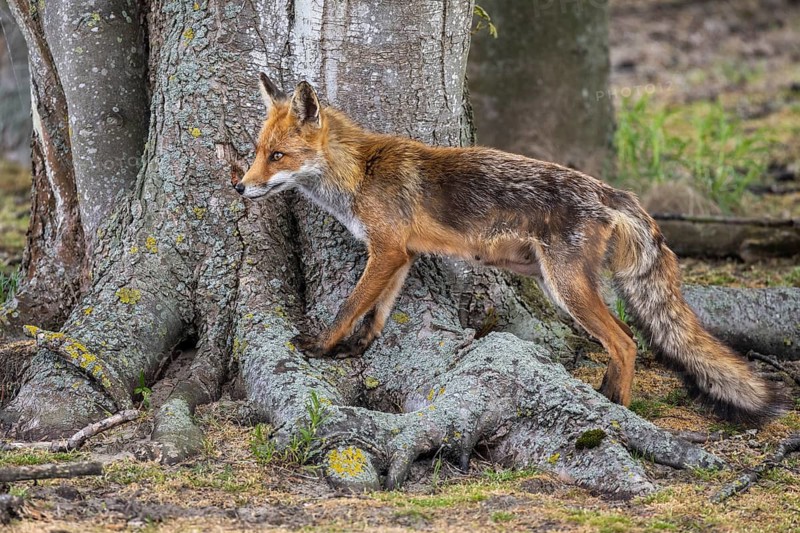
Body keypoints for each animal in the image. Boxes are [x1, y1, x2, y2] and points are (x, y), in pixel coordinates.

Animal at [235, 73, 786, 423]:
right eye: (257, 153)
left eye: (277, 156)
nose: (240, 187)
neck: (360, 173)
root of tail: (612, 192)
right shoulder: (401, 254)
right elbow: (377, 311)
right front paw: (359, 346)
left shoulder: (386, 249)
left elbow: (350, 304)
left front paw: (321, 346)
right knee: (625, 340)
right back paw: (607, 398)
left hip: (565, 287)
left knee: (626, 341)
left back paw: (618, 409)